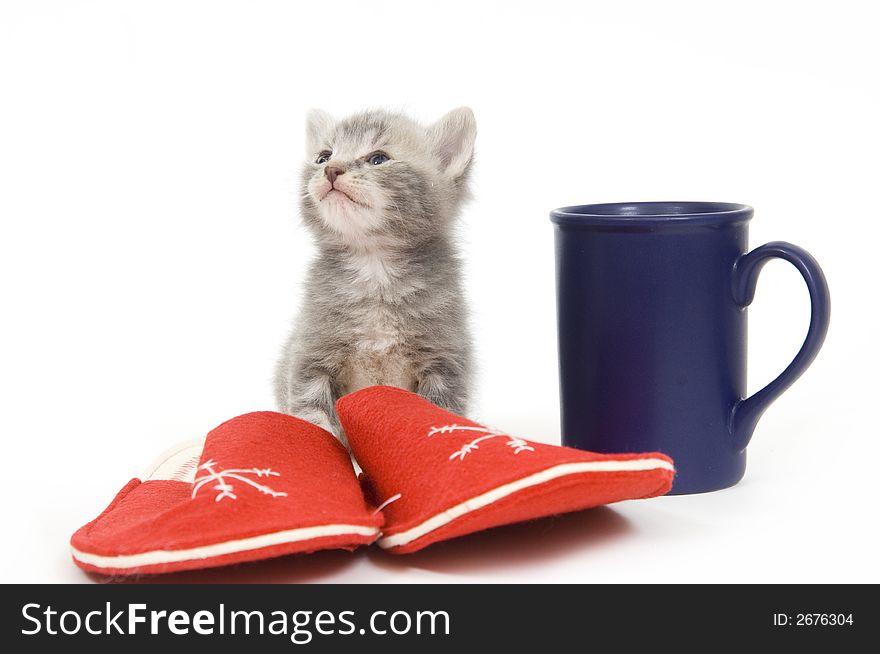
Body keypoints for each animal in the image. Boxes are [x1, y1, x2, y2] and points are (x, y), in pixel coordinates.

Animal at [278, 109, 478, 446]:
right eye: (323, 156)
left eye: (378, 159)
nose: (331, 169)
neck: (374, 266)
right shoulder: (311, 353)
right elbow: (312, 411)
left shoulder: (445, 361)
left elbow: (439, 411)